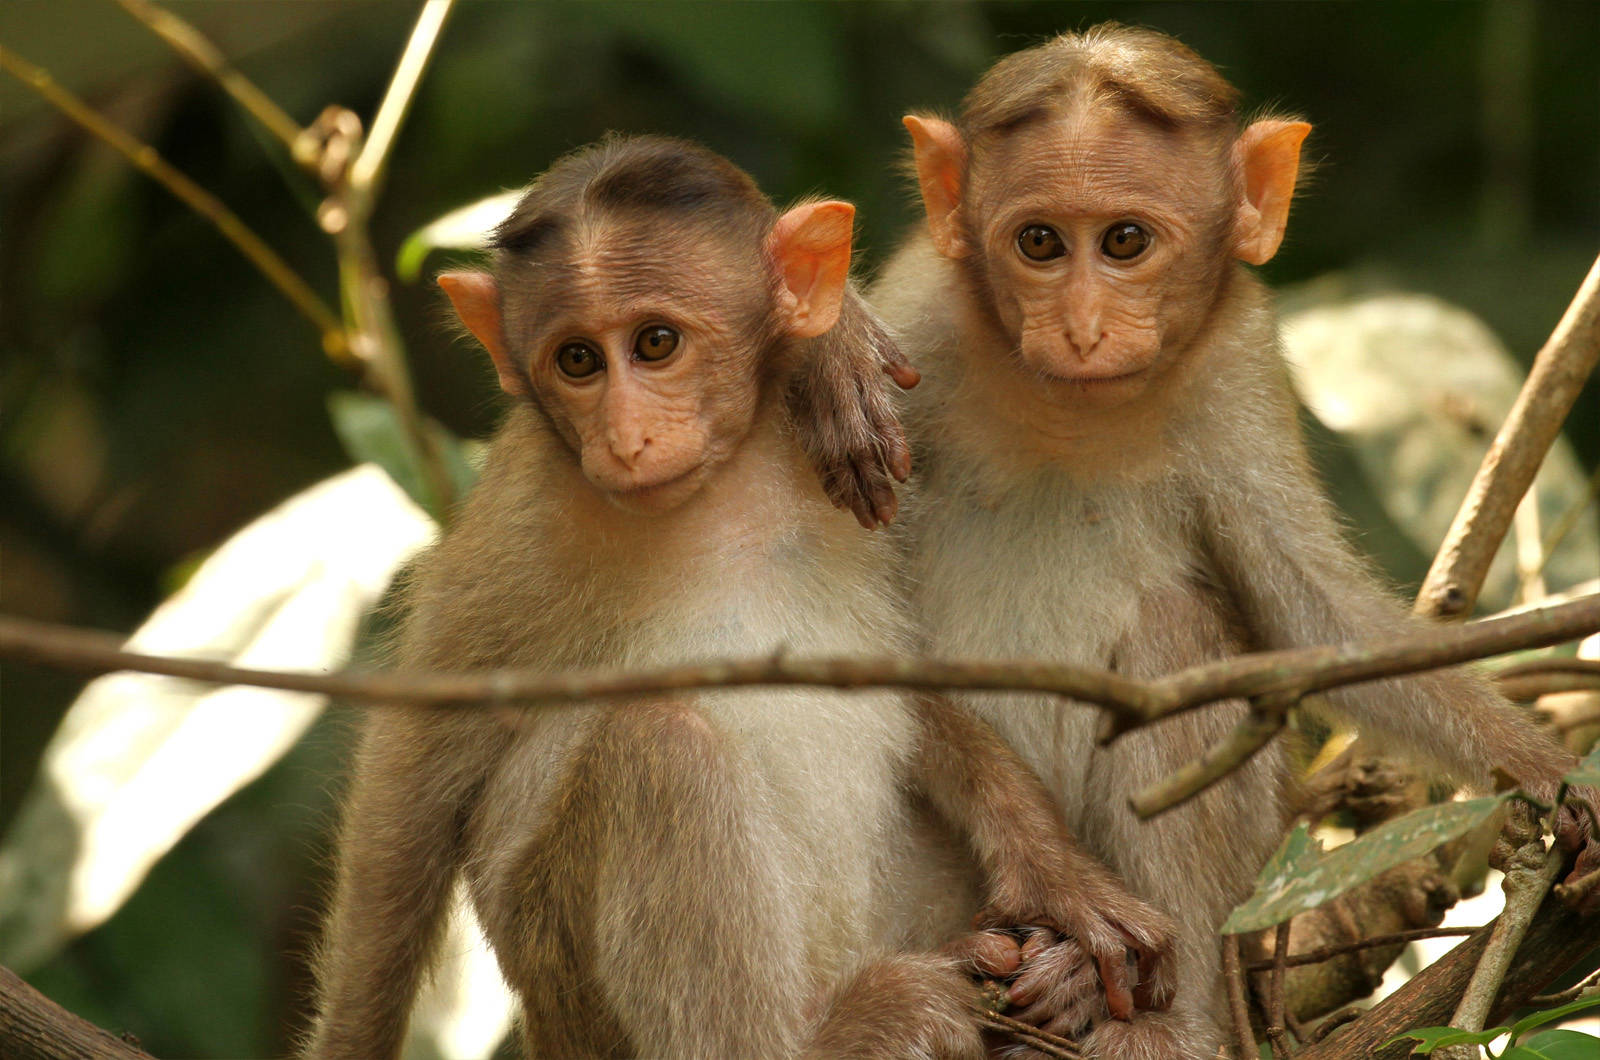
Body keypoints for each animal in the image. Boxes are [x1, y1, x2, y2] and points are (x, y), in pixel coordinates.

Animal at [302, 134, 1178, 1060]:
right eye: (577, 360)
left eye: (655, 343)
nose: (627, 437)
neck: (717, 491)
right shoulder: (523, 521)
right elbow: (412, 777)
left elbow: (900, 673)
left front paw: (1057, 877)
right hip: (574, 991)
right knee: (662, 746)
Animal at [869, 24, 1599, 1060]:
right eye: (1039, 242)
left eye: (1125, 241)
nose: (1081, 329)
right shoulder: (911, 316)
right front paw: (1054, 870)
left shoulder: (1241, 357)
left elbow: (1313, 617)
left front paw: (1549, 775)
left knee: (1178, 635)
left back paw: (1152, 1019)